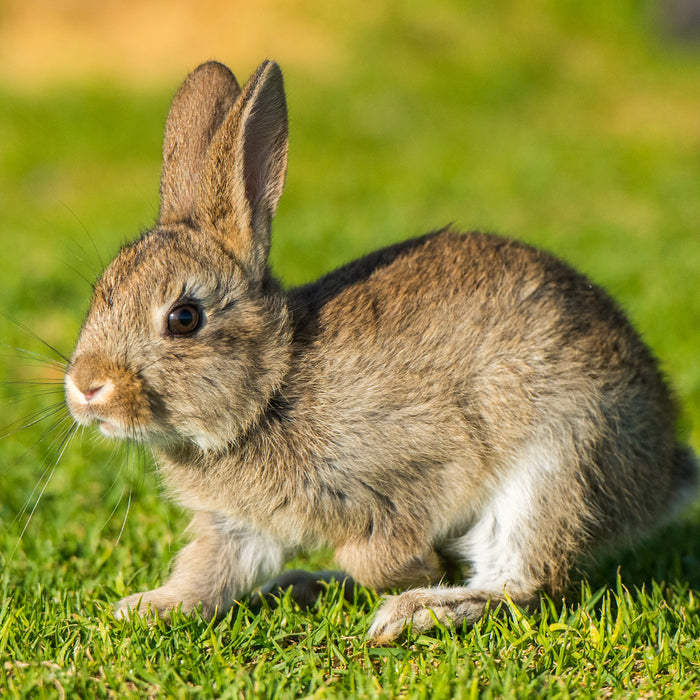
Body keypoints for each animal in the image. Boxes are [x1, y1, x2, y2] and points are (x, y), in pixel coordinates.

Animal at [64, 59, 698, 643]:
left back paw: (413, 611)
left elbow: (376, 554)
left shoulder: (426, 465)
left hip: (558, 466)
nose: (85, 387)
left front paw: (421, 573)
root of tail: (664, 474)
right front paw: (144, 608)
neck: (270, 391)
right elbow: (208, 575)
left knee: (522, 583)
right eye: (100, 293)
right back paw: (304, 585)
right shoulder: (237, 527)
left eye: (184, 317)